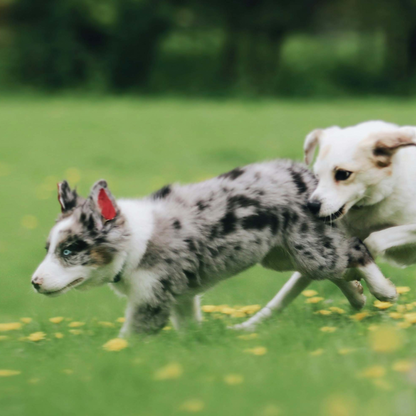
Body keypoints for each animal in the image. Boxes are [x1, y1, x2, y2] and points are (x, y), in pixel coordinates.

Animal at [237, 121, 412, 332]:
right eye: (317, 175)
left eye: (343, 174)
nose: (310, 206)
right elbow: (286, 293)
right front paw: (247, 326)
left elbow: (374, 241)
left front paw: (373, 285)